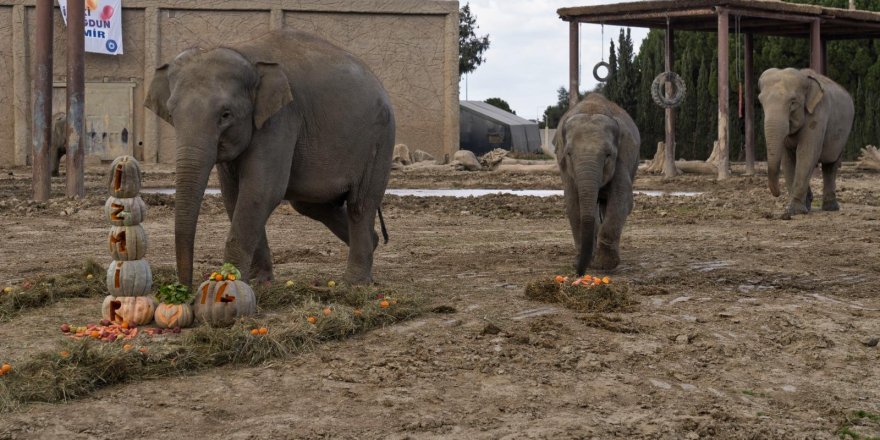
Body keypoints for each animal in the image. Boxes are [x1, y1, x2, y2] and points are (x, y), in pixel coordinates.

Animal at [147, 29, 396, 288]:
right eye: (171, 113)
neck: (244, 54)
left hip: (379, 141)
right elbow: (234, 196)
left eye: (226, 114)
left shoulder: (281, 119)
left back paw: (355, 283)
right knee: (310, 204)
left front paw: (229, 282)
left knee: (360, 204)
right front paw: (258, 281)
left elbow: (260, 191)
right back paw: (374, 242)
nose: (183, 288)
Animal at [552, 93, 640, 276]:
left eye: (608, 155)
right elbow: (572, 202)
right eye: (569, 154)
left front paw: (605, 265)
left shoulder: (623, 156)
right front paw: (583, 261)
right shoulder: (565, 168)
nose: (579, 273)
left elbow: (622, 198)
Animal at [756, 67, 852, 217]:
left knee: (831, 165)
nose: (778, 194)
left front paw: (794, 211)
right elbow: (787, 159)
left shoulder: (818, 114)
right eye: (761, 102)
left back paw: (830, 208)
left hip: (843, 135)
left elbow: (806, 153)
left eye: (793, 102)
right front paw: (800, 207)